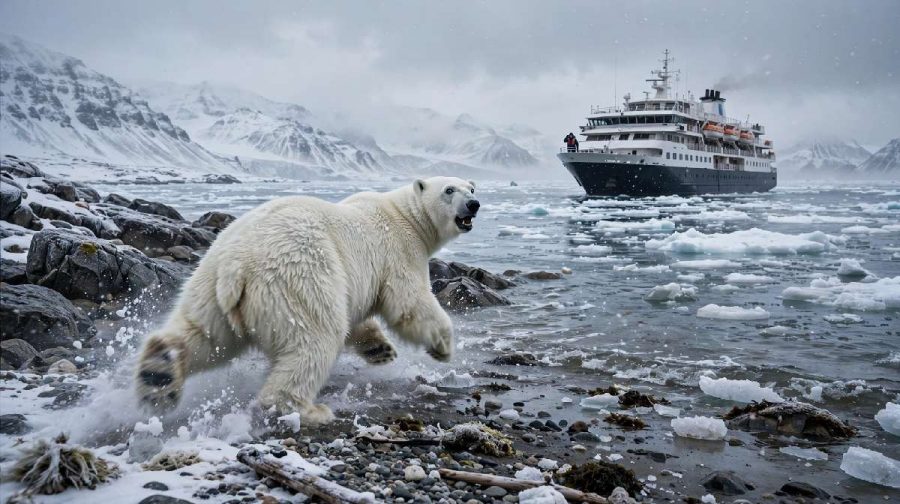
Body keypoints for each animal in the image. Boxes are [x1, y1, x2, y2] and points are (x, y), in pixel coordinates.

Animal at [135, 177, 480, 425]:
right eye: (449, 189)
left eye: (472, 187)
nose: (474, 204)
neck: (404, 214)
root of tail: (237, 263)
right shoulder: (399, 251)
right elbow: (409, 301)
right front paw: (443, 346)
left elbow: (358, 316)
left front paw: (380, 350)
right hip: (300, 277)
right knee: (315, 339)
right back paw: (307, 410)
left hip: (209, 285)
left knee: (204, 334)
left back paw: (159, 374)